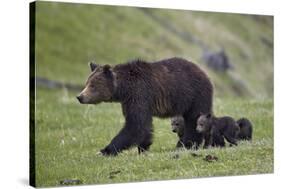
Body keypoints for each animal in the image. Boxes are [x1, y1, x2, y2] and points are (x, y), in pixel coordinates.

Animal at [76, 57, 212, 155]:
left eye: (93, 85)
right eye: (86, 83)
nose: (80, 97)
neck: (123, 89)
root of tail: (203, 71)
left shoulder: (139, 94)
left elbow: (135, 125)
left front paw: (104, 150)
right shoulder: (129, 101)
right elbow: (143, 126)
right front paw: (143, 148)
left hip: (194, 95)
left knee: (194, 119)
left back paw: (188, 144)